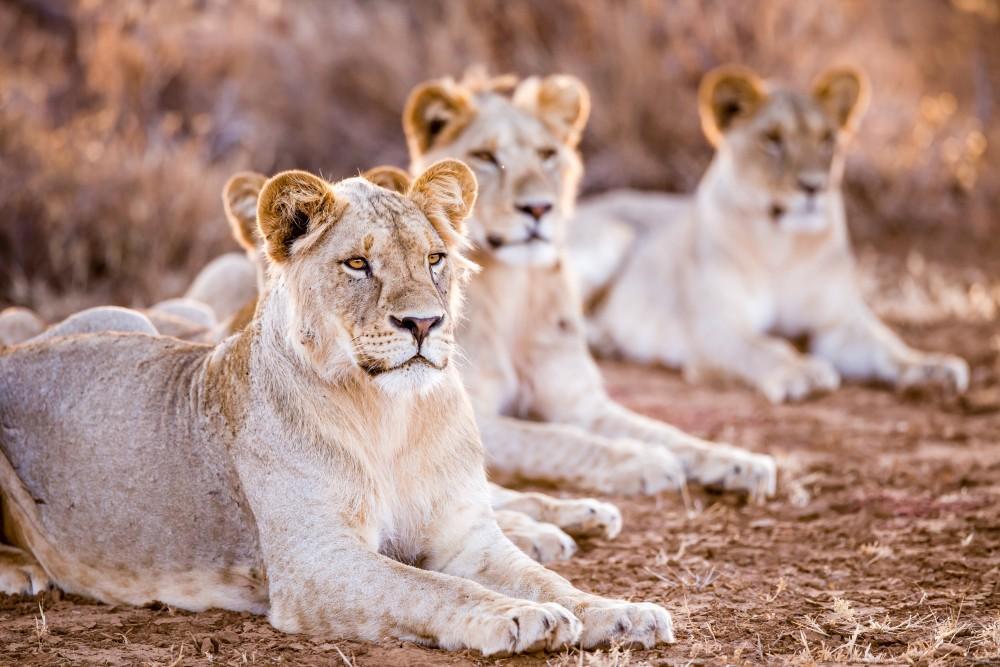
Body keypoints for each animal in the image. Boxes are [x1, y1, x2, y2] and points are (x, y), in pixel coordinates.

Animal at [0, 162, 674, 654]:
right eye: (357, 263)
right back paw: (20, 571)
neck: (391, 417)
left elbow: (544, 580)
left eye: (434, 258)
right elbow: (430, 587)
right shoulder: (316, 562)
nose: (423, 323)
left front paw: (621, 613)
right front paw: (521, 617)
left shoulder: (466, 536)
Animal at [400, 72, 776, 498]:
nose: (538, 208)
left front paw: (737, 461)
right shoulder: (465, 414)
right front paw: (641, 461)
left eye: (547, 154)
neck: (514, 292)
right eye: (484, 156)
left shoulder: (578, 402)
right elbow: (555, 439)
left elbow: (661, 431)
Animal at [570, 65, 970, 404]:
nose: (814, 187)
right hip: (613, 235)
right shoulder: (715, 329)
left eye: (827, 140)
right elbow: (763, 348)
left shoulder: (836, 322)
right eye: (772, 141)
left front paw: (930, 368)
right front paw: (801, 372)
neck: (782, 246)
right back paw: (599, 340)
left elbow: (886, 345)